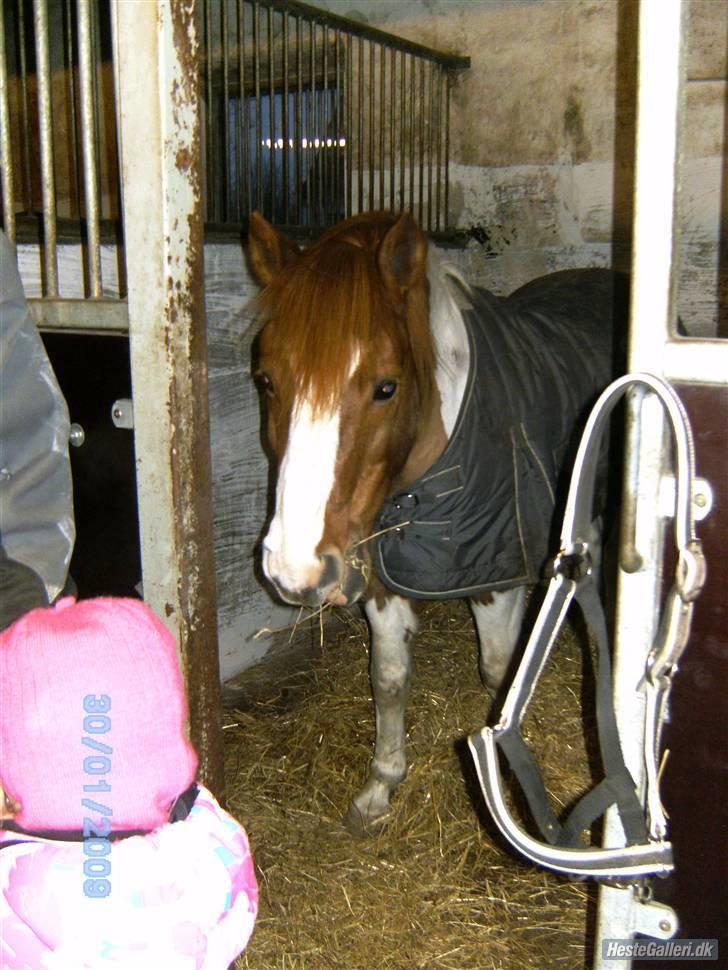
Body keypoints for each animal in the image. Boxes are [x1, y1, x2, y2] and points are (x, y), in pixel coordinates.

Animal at [246, 208, 624, 828]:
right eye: (266, 380)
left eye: (386, 387)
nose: (294, 571)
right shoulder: (379, 576)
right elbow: (389, 678)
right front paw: (381, 784)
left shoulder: (497, 579)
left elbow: (498, 674)